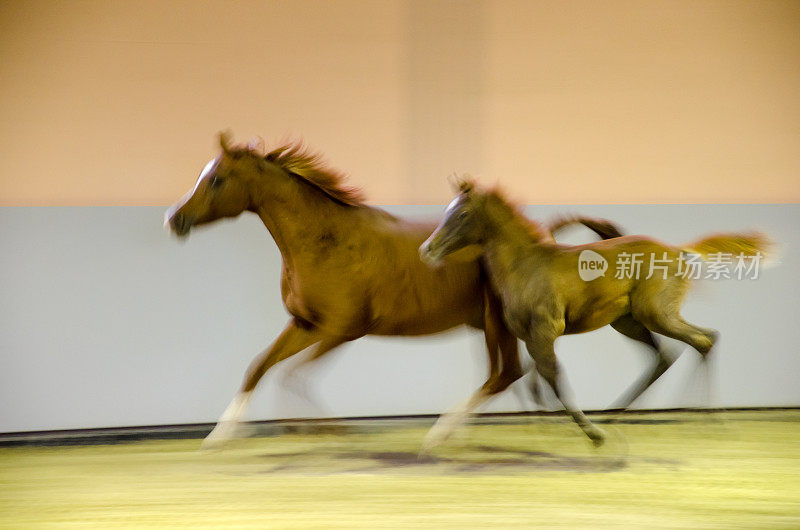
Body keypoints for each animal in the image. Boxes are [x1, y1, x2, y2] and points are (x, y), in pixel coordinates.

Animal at [164, 132, 624, 446]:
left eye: (217, 179)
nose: (174, 219)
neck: (325, 242)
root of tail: (537, 238)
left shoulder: (340, 329)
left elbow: (294, 376)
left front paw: (324, 429)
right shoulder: (304, 323)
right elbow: (260, 367)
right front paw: (220, 436)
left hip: (497, 325)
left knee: (507, 374)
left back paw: (443, 433)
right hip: (491, 327)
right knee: (513, 374)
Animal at [422, 179, 772, 444]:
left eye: (462, 213)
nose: (427, 249)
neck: (526, 266)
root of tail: (677, 250)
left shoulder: (544, 331)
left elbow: (551, 375)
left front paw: (590, 433)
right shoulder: (528, 336)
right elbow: (533, 380)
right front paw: (556, 425)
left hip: (657, 316)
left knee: (703, 340)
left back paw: (707, 416)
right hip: (629, 322)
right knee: (669, 354)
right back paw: (622, 415)